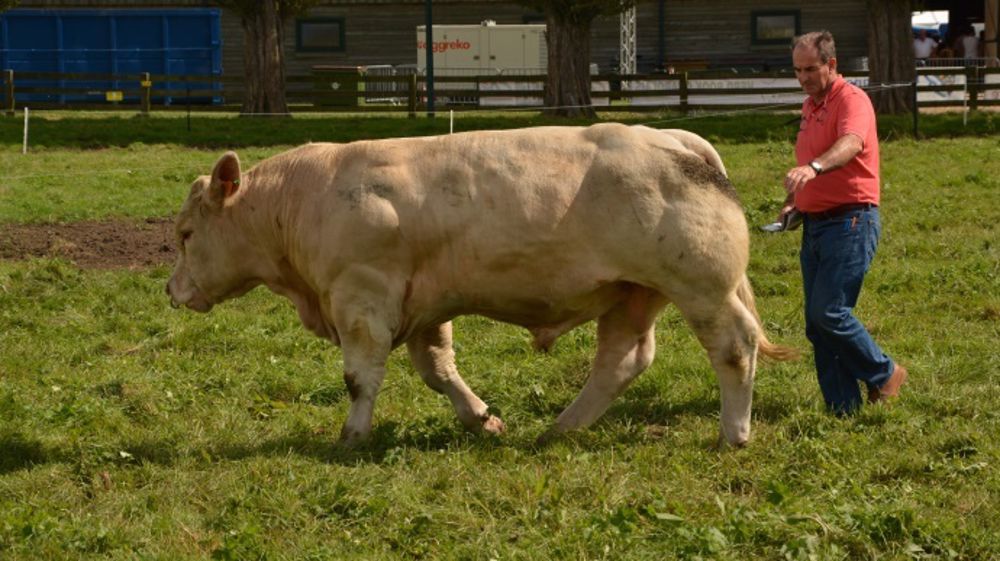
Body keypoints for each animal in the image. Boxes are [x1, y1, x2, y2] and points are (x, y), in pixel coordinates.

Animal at [167, 123, 795, 448]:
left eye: (186, 233)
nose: (172, 291)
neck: (304, 198)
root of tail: (676, 138)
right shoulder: (422, 304)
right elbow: (437, 369)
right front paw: (482, 418)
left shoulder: (362, 296)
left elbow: (359, 377)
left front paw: (351, 436)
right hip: (632, 294)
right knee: (621, 361)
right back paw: (561, 427)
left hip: (702, 288)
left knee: (733, 348)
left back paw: (733, 433)